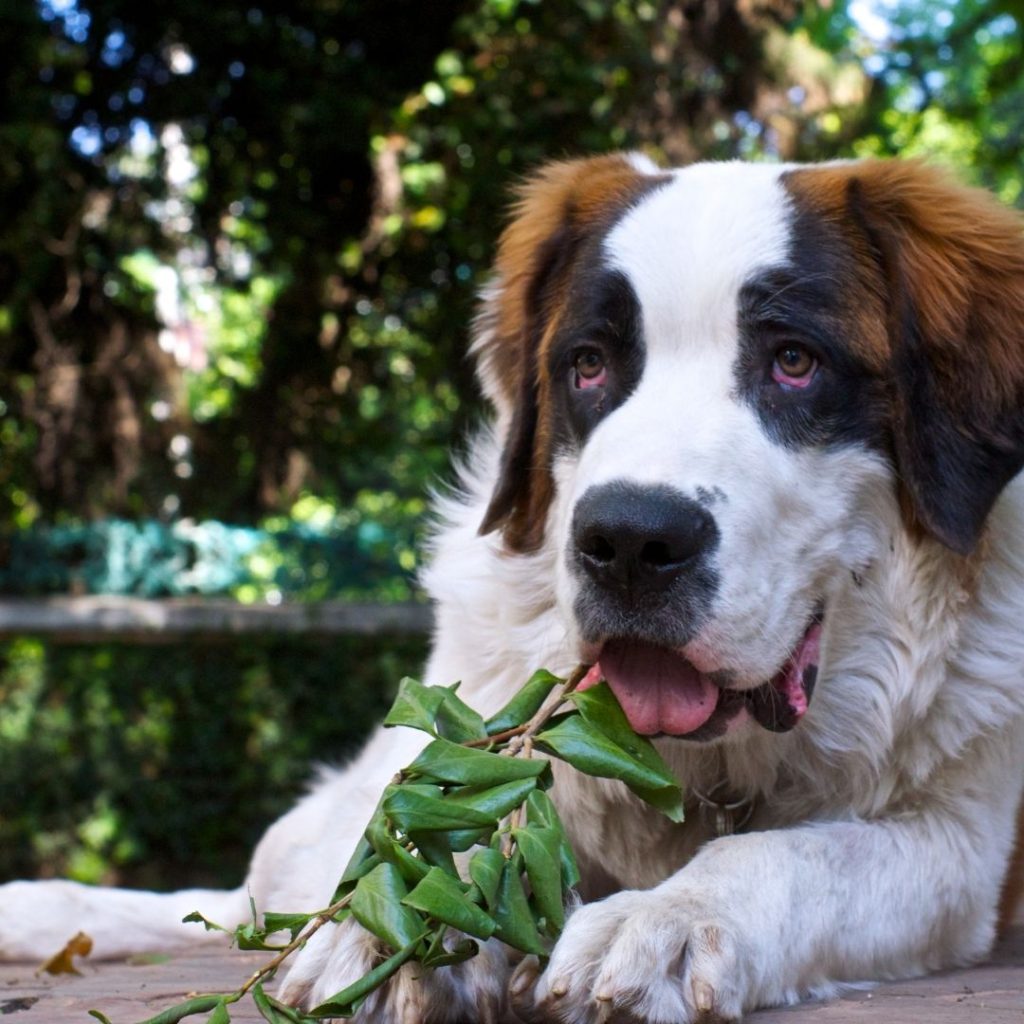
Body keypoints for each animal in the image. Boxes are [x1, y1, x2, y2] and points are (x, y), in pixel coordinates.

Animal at [2, 153, 1024, 1024]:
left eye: (794, 362)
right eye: (589, 365)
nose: (630, 540)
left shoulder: (956, 845)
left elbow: (801, 853)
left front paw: (662, 920)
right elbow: (457, 816)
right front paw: (399, 925)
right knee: (257, 890)